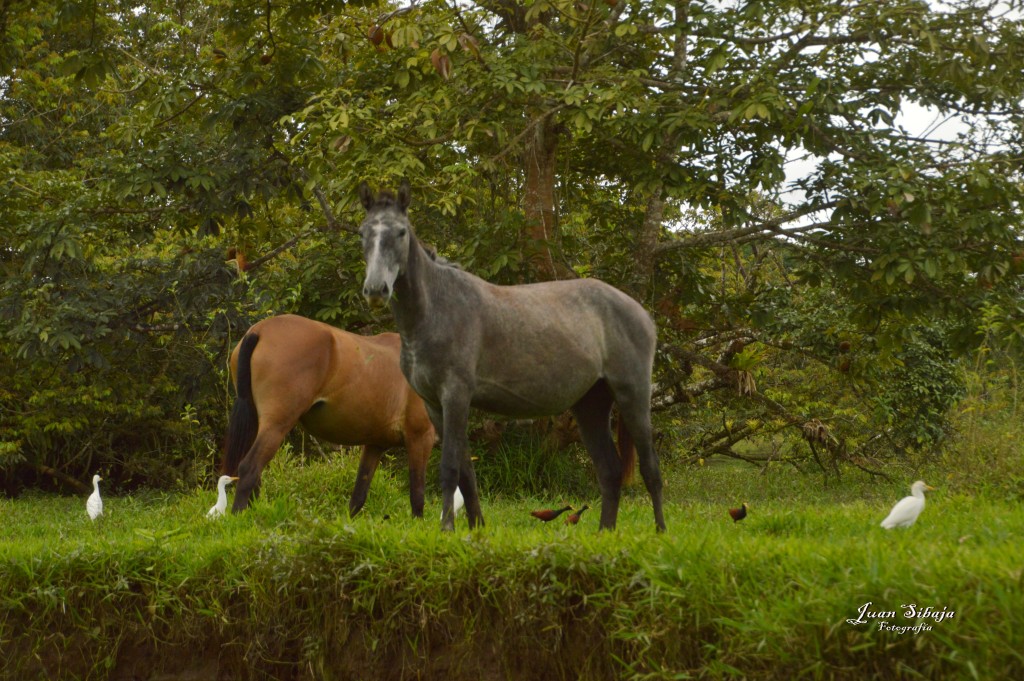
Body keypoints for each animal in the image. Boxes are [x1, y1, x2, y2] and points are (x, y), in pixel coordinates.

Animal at [224, 313, 436, 516]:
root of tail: (259, 330)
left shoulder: (375, 445)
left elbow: (358, 496)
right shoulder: (420, 438)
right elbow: (417, 496)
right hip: (276, 426)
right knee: (249, 469)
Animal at [358, 182, 663, 532]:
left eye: (400, 232)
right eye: (362, 233)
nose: (376, 290)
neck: (437, 308)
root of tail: (641, 313)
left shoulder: (455, 397)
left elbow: (450, 468)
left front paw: (447, 528)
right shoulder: (435, 405)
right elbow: (467, 474)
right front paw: (475, 528)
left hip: (633, 396)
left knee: (651, 470)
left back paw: (660, 532)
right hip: (590, 405)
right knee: (610, 472)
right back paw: (604, 534)